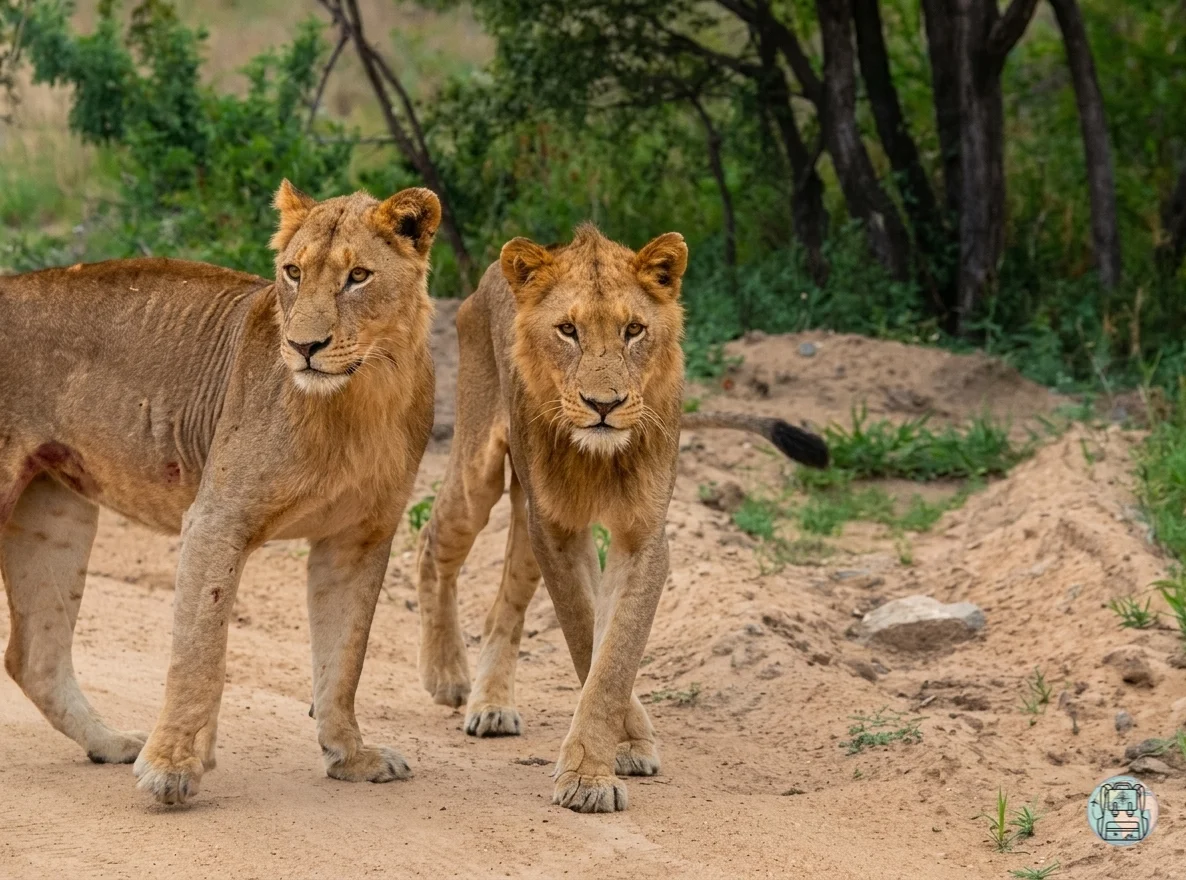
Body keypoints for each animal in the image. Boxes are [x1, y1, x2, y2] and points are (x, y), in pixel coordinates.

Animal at [0, 180, 439, 805]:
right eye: (293, 272)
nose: (304, 346)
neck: (362, 397)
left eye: (358, 276)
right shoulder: (216, 518)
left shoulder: (358, 537)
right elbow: (199, 652)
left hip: (54, 512)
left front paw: (351, 758)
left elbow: (344, 657)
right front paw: (172, 769)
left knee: (34, 656)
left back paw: (111, 743)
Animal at [416, 225, 827, 812]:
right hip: (480, 467)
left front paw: (608, 758)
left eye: (634, 330)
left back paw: (490, 704)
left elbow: (615, 654)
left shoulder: (642, 536)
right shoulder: (558, 530)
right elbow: (585, 631)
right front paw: (599, 767)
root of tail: (490, 276)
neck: (600, 457)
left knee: (504, 607)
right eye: (567, 330)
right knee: (433, 539)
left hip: (525, 515)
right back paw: (447, 674)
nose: (603, 405)